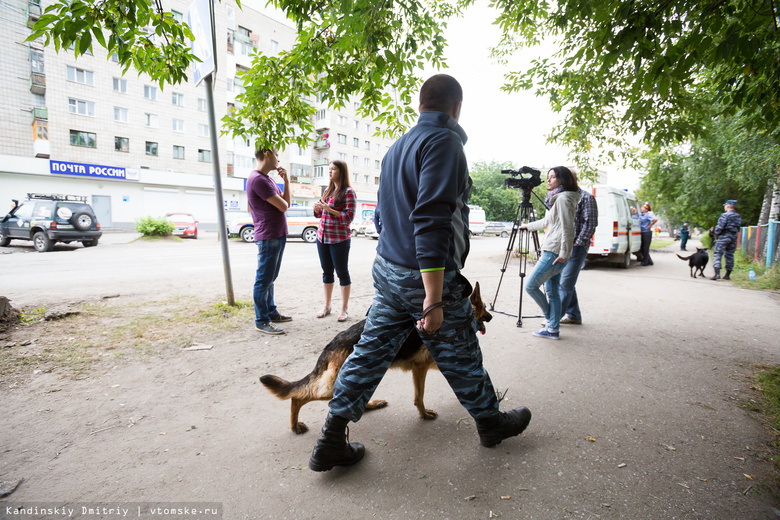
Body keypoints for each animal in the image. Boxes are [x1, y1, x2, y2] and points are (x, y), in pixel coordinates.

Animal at [262, 282, 494, 432]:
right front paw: (424, 415)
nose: (491, 316)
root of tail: (335, 341)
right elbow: (419, 396)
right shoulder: (420, 368)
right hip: (336, 385)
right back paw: (295, 425)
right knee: (299, 397)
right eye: (484, 306)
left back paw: (373, 404)